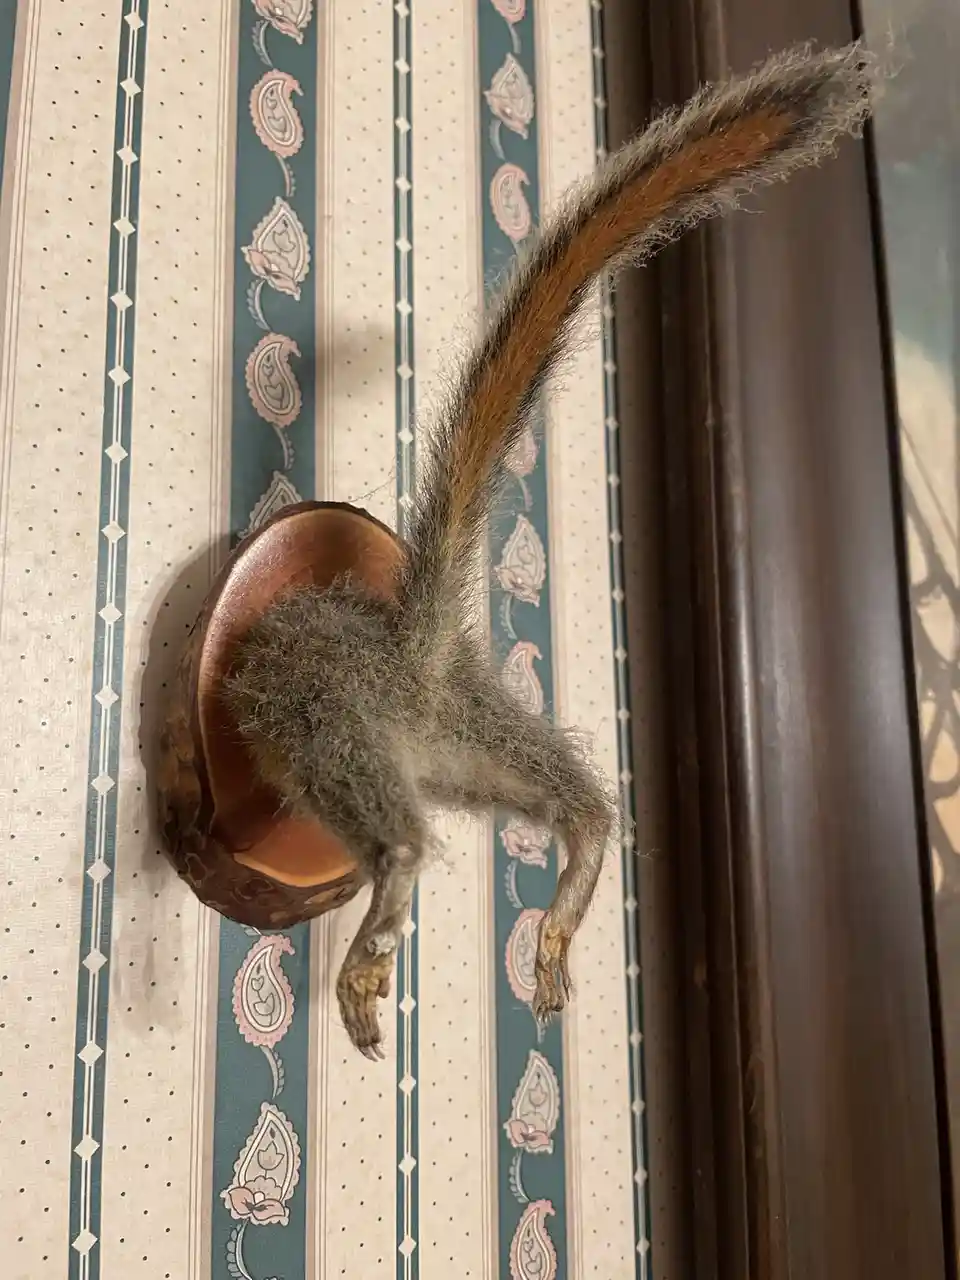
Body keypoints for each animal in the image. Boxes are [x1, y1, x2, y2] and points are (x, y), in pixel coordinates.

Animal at [225, 42, 878, 1059]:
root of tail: (413, 661)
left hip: (328, 715)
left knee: (396, 832)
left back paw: (390, 892)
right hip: (465, 746)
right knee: (570, 801)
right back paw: (574, 877)